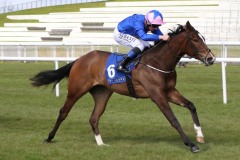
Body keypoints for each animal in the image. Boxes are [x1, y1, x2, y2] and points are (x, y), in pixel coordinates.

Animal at [30, 21, 216, 152]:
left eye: (203, 38)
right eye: (194, 39)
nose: (211, 58)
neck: (158, 62)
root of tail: (80, 59)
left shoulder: (169, 91)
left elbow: (191, 105)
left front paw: (199, 135)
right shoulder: (157, 94)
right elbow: (173, 119)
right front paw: (191, 144)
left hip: (102, 93)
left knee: (94, 118)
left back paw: (101, 144)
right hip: (76, 90)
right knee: (63, 112)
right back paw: (49, 137)